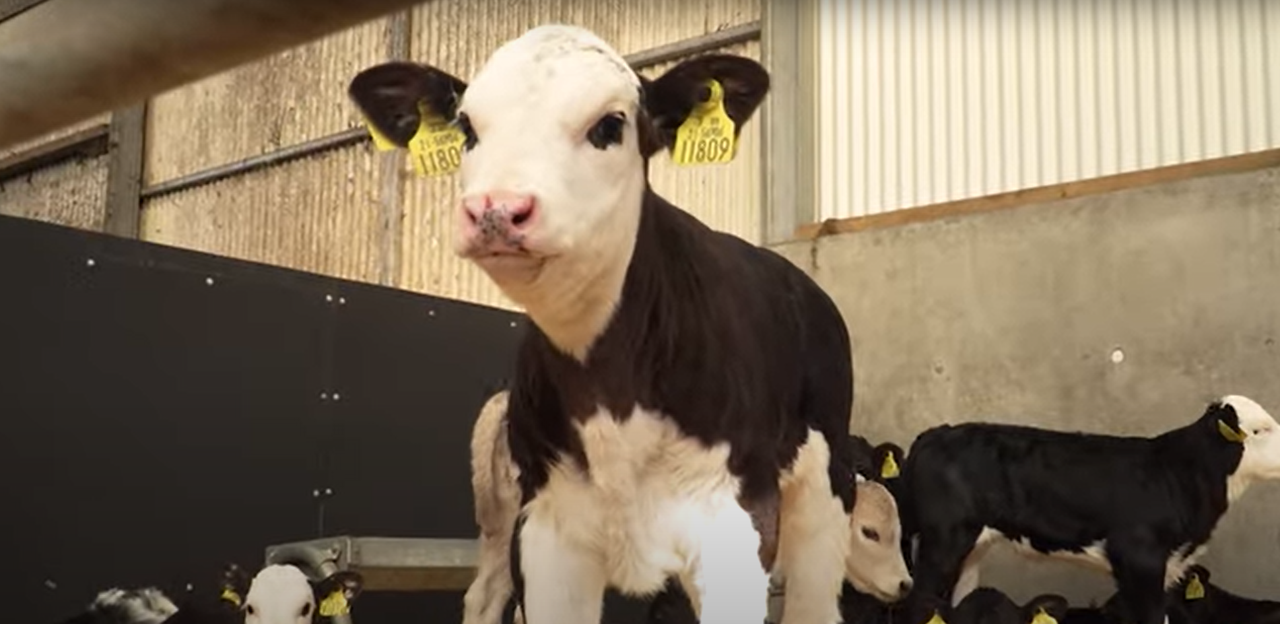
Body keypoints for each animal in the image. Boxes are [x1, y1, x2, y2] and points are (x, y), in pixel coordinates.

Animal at [348, 24, 857, 624]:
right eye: (467, 128)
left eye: (610, 125)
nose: (497, 209)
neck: (612, 397)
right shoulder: (544, 535)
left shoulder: (737, 528)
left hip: (825, 498)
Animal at [896, 395, 1280, 624]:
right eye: (1260, 430)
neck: (1180, 472)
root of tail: (937, 433)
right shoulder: (1139, 561)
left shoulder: (1166, 567)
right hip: (943, 540)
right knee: (920, 602)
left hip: (971, 547)